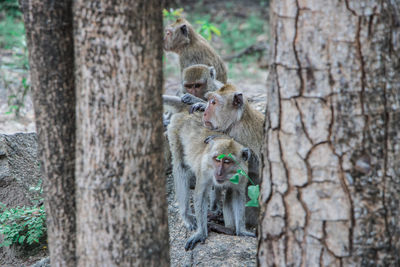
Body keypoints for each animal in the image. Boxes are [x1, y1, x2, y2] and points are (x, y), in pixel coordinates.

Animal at [166, 111, 255, 251]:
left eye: (227, 162)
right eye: (217, 159)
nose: (218, 173)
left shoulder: (242, 175)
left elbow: (238, 195)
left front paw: (241, 230)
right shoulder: (204, 170)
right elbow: (201, 195)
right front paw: (201, 233)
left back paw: (215, 209)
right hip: (174, 131)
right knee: (181, 168)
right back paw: (187, 214)